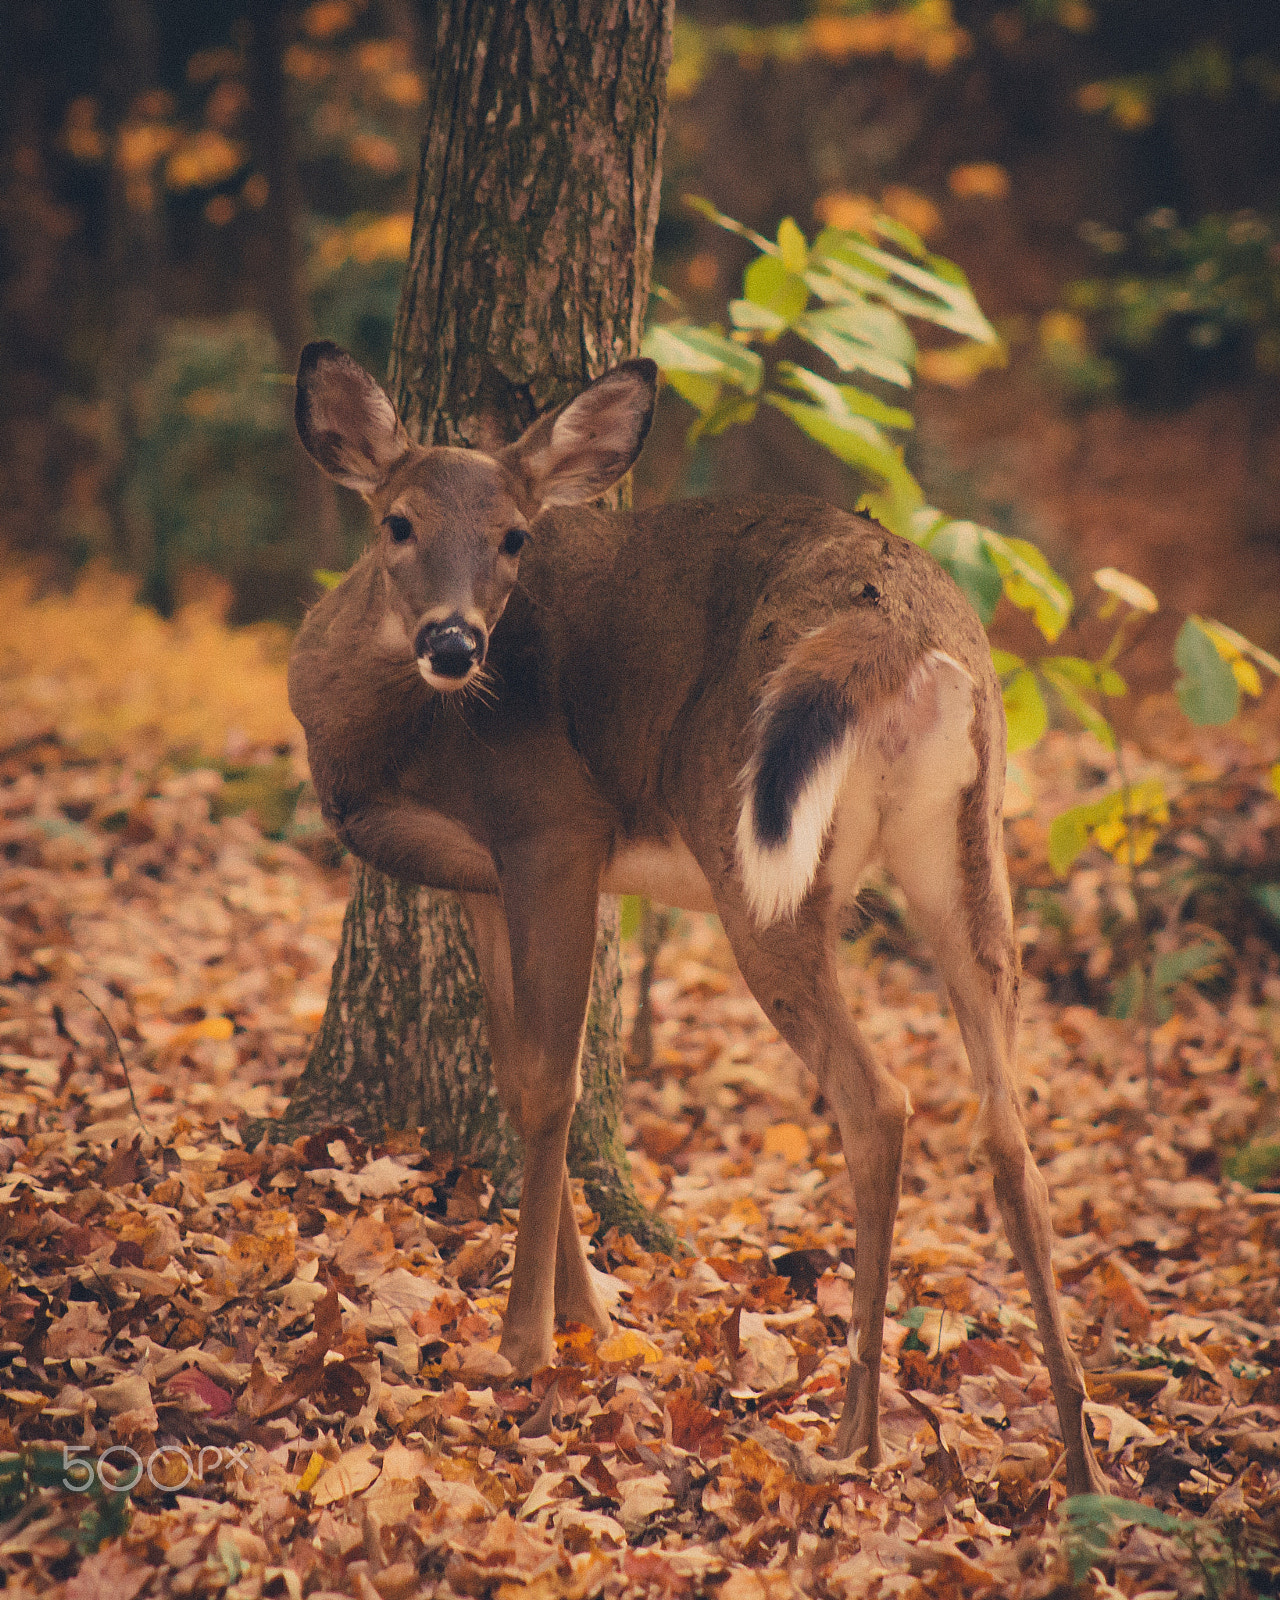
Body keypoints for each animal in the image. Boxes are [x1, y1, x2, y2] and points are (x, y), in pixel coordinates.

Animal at [289, 339, 1108, 1496]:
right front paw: (591, 1318)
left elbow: (554, 1085)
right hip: (968, 838)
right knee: (1009, 1127)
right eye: (396, 521)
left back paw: (854, 1440)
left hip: (756, 856)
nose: (453, 641)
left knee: (878, 1098)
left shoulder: (555, 827)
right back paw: (1079, 1467)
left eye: (513, 538)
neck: (388, 739)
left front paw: (525, 1341)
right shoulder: (480, 875)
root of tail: (898, 630)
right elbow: (518, 1072)